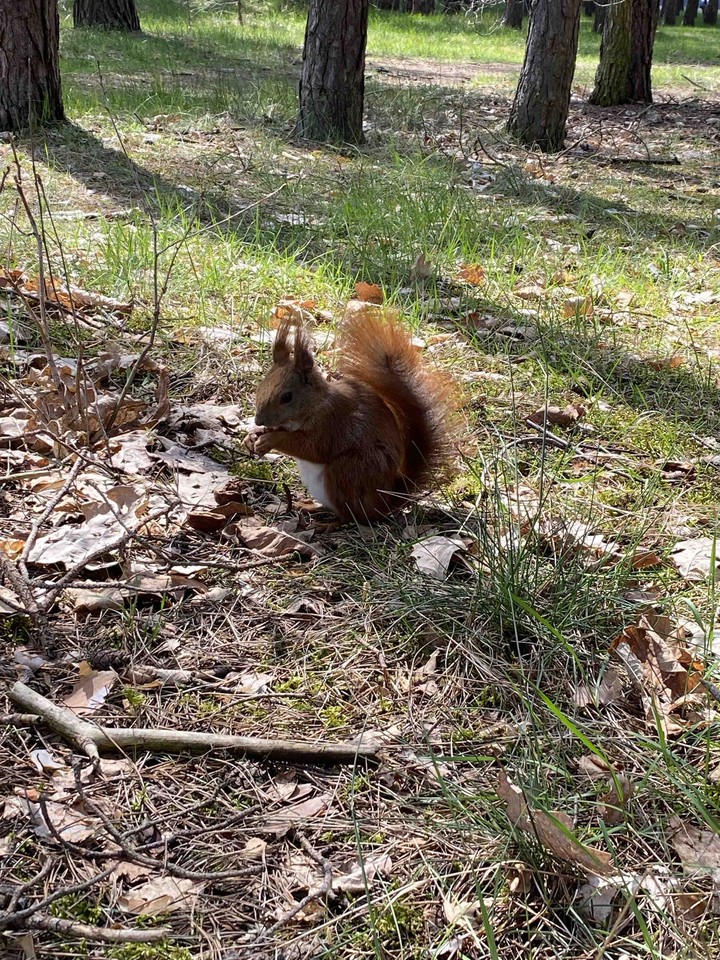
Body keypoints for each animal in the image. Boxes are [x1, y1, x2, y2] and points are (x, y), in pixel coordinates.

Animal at [245, 311, 458, 522]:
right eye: (260, 386)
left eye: (286, 397)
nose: (258, 420)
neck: (314, 404)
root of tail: (383, 502)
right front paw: (252, 436)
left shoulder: (329, 423)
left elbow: (311, 447)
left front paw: (270, 439)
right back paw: (311, 506)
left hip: (347, 470)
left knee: (349, 514)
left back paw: (331, 522)